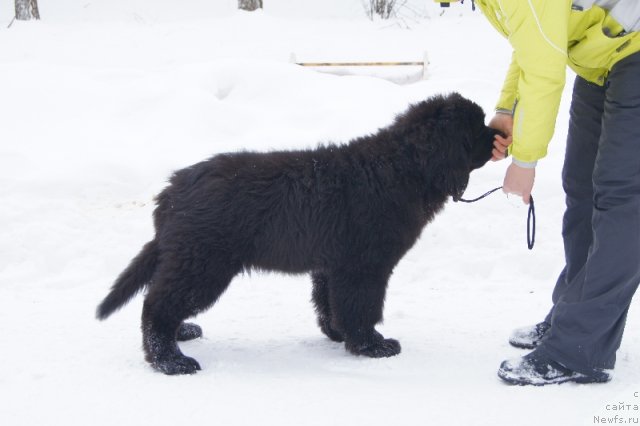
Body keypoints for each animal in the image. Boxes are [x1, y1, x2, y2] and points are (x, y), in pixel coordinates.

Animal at [97, 92, 500, 372]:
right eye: (477, 126)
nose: (500, 133)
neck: (403, 168)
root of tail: (173, 191)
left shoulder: (333, 265)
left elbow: (331, 304)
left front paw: (339, 335)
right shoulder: (365, 266)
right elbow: (363, 306)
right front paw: (372, 346)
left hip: (188, 259)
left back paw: (181, 334)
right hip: (204, 263)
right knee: (156, 305)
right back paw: (170, 360)